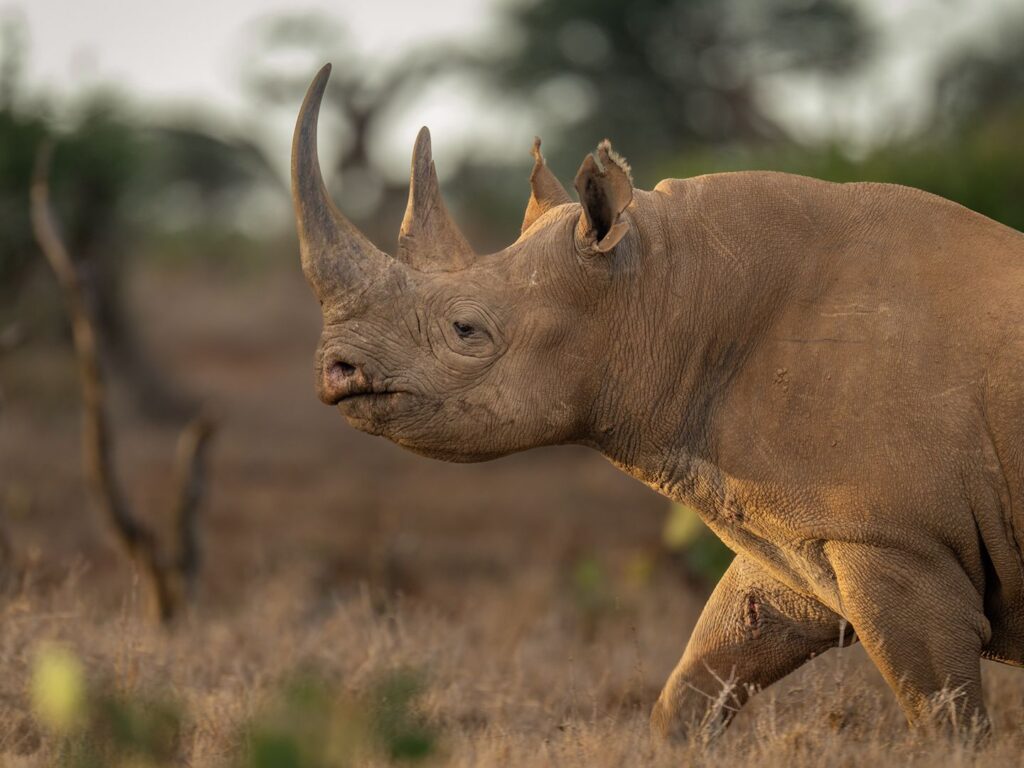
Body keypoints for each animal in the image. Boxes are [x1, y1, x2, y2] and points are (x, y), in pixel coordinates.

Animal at [291, 64, 1024, 738]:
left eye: (466, 330)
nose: (335, 370)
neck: (669, 288)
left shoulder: (895, 543)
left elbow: (944, 719)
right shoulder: (803, 533)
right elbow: (705, 669)